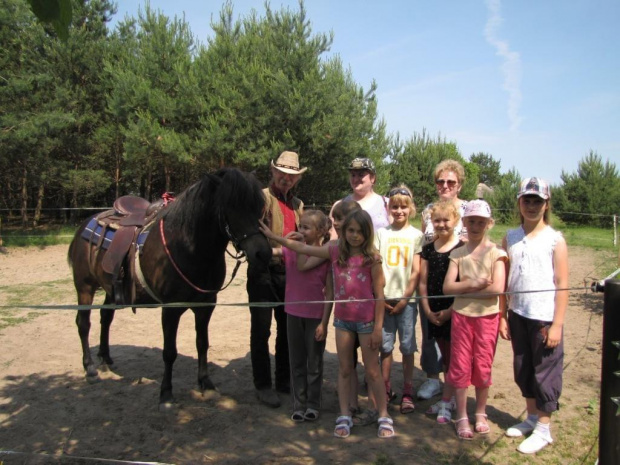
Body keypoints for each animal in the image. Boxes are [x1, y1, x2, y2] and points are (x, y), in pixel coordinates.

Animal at [68, 167, 272, 406]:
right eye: (231, 207)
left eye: (258, 207)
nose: (262, 253)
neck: (188, 247)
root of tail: (87, 222)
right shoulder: (171, 310)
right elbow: (169, 352)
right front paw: (166, 393)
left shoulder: (206, 306)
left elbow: (202, 343)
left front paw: (206, 383)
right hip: (85, 287)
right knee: (83, 324)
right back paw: (90, 368)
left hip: (110, 287)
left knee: (105, 317)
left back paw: (106, 358)